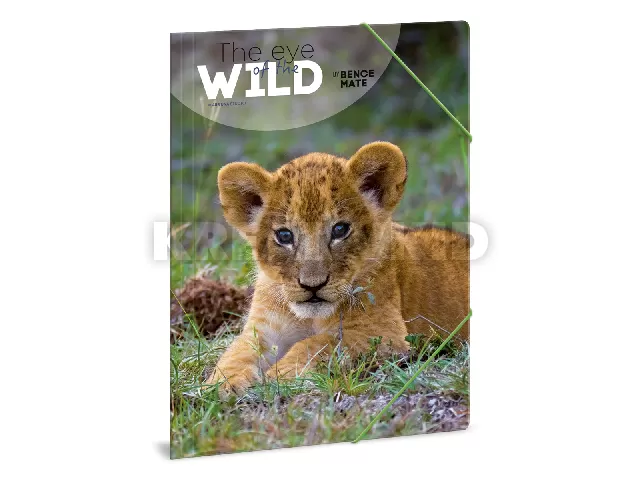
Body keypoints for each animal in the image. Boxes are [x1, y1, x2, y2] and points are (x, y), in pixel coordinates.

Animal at [204, 141, 469, 395]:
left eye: (340, 230)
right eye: (284, 235)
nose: (312, 285)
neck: (310, 319)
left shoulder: (385, 332)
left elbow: (319, 343)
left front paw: (279, 375)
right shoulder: (263, 328)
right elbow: (237, 352)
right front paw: (221, 385)